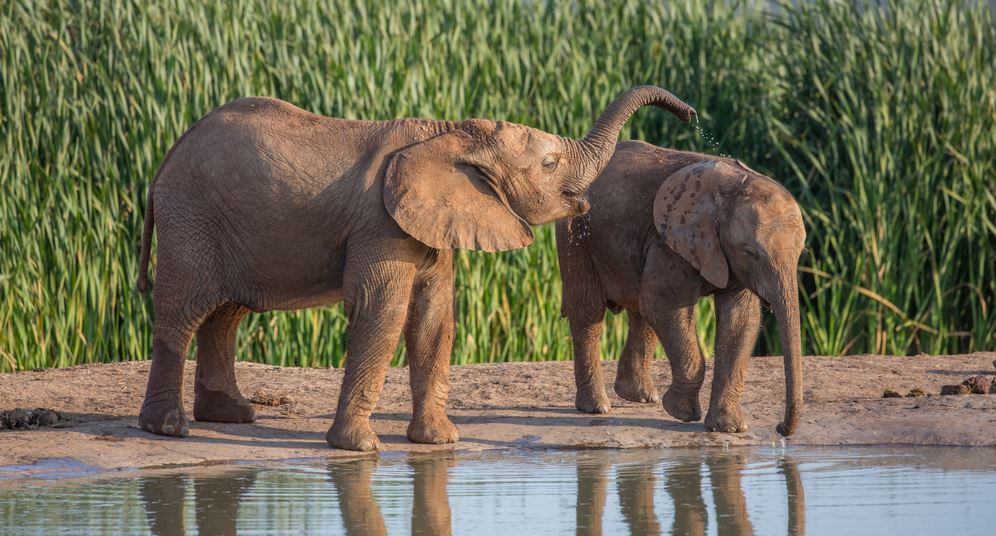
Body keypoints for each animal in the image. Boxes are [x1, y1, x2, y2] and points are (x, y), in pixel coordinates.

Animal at [135, 86, 696, 451]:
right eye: (551, 163)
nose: (689, 113)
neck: (449, 134)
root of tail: (165, 159)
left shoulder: (433, 218)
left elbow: (433, 318)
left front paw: (438, 442)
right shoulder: (380, 225)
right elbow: (382, 313)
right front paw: (361, 449)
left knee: (225, 313)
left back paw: (233, 417)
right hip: (191, 220)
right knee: (183, 312)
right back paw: (170, 429)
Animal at [556, 141, 805, 436]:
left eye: (801, 252)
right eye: (751, 252)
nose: (780, 428)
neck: (732, 190)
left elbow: (740, 320)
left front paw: (729, 428)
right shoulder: (670, 242)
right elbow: (665, 306)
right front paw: (681, 413)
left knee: (641, 310)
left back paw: (638, 396)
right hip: (575, 237)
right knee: (589, 313)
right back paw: (597, 407)